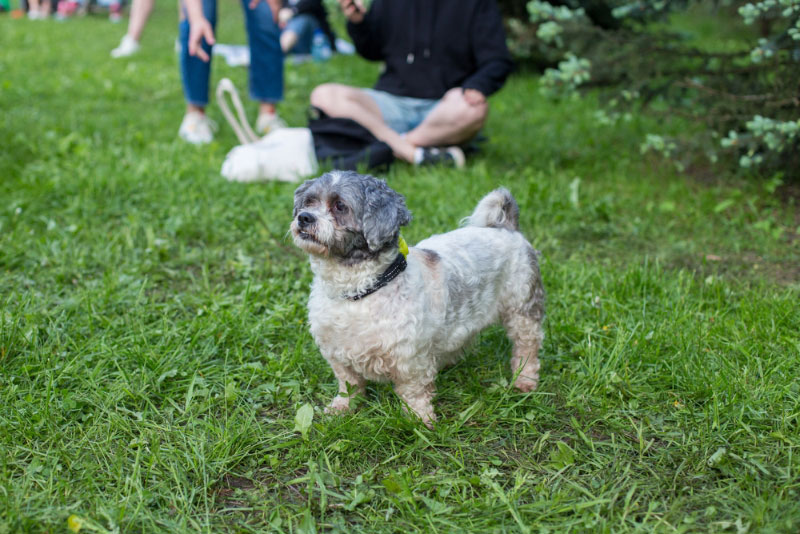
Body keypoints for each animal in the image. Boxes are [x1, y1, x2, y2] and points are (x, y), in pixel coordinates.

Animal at [290, 172, 548, 428]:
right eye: (309, 202)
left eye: (340, 206)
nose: (304, 217)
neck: (358, 293)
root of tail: (506, 227)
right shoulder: (337, 352)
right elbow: (349, 384)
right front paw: (343, 408)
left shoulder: (410, 359)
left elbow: (413, 392)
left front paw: (419, 420)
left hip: (522, 309)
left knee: (527, 347)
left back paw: (524, 379)